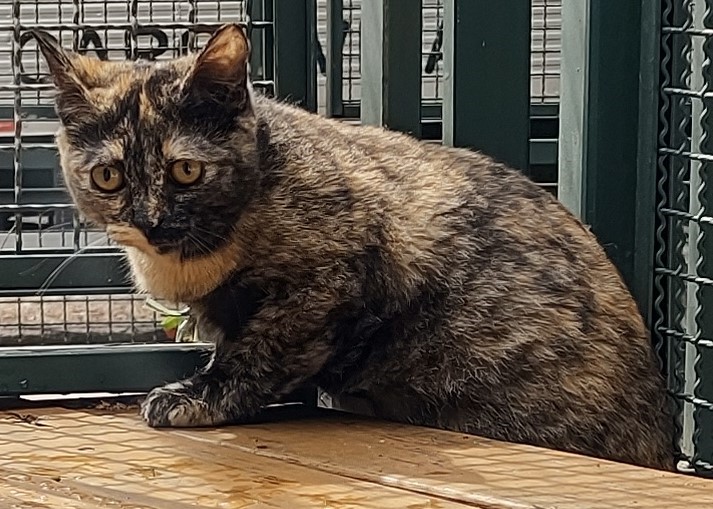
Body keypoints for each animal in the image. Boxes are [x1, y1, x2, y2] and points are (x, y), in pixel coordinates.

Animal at [32, 22, 672, 468]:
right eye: (108, 177)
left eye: (186, 170)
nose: (152, 221)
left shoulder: (329, 278)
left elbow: (258, 354)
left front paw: (200, 396)